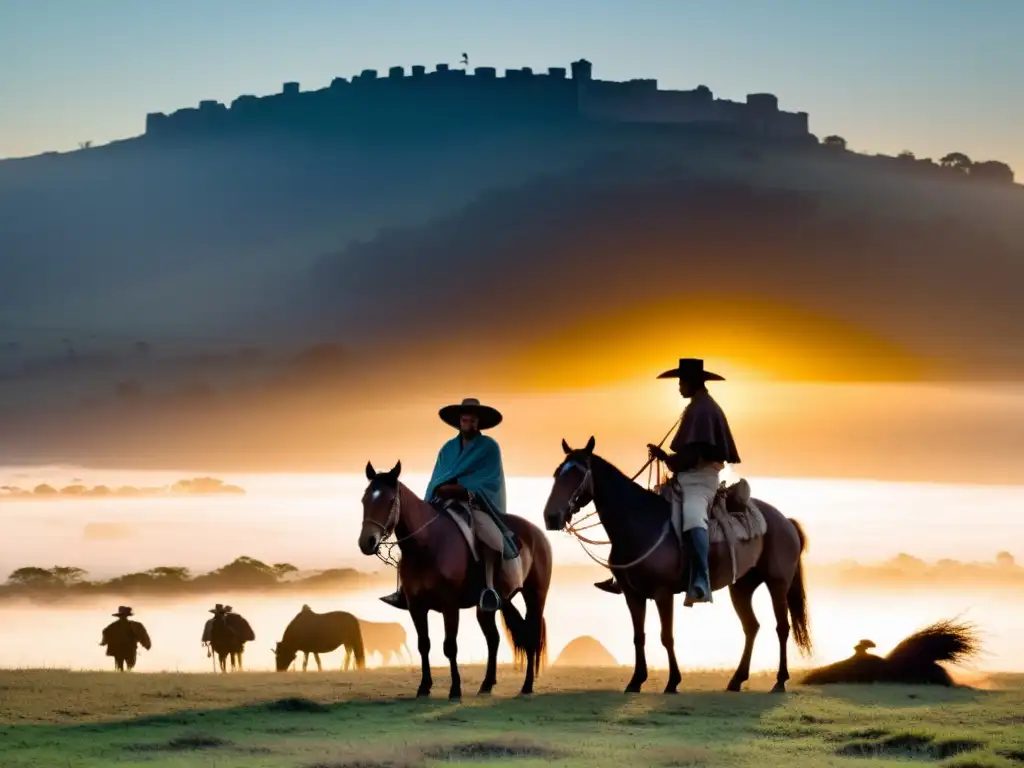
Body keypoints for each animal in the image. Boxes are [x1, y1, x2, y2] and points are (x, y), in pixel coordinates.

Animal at [358, 460, 552, 700]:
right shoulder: (416, 606)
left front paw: (455, 689)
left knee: (531, 635)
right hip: (493, 605)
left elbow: (450, 646)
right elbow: (424, 644)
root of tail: (538, 534)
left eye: (391, 500)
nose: (367, 542)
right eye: (364, 499)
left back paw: (526, 685)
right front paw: (424, 687)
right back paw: (486, 685)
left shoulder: (450, 606)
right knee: (494, 639)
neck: (426, 547)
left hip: (535, 596)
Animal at [540, 438, 811, 696]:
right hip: (742, 586)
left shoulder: (663, 593)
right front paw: (636, 681)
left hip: (778, 584)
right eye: (557, 473)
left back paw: (780, 681)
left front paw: (672, 681)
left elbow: (666, 636)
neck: (638, 523)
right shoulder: (632, 595)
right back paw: (736, 680)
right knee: (751, 627)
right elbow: (639, 637)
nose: (551, 517)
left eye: (578, 474)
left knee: (782, 627)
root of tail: (785, 521)